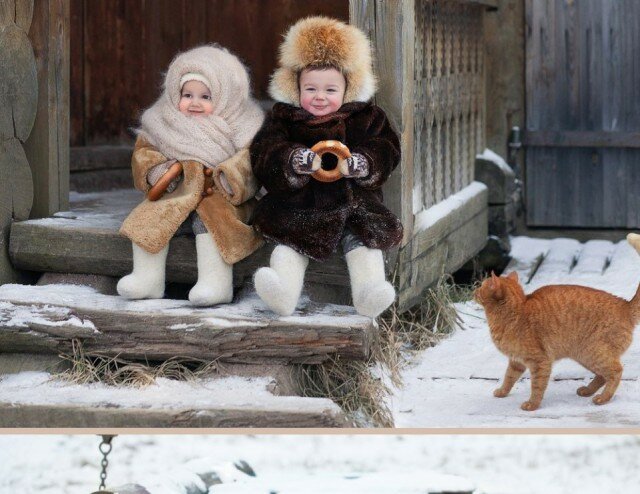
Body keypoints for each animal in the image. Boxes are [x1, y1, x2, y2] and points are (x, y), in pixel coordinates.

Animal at [472, 272, 636, 412]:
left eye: (481, 286)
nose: (474, 290)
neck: (514, 313)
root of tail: (625, 305)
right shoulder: (516, 361)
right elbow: (509, 378)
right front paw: (502, 392)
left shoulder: (540, 362)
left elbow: (537, 386)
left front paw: (532, 404)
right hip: (585, 357)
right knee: (602, 376)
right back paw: (587, 390)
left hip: (592, 353)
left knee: (616, 371)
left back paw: (603, 398)